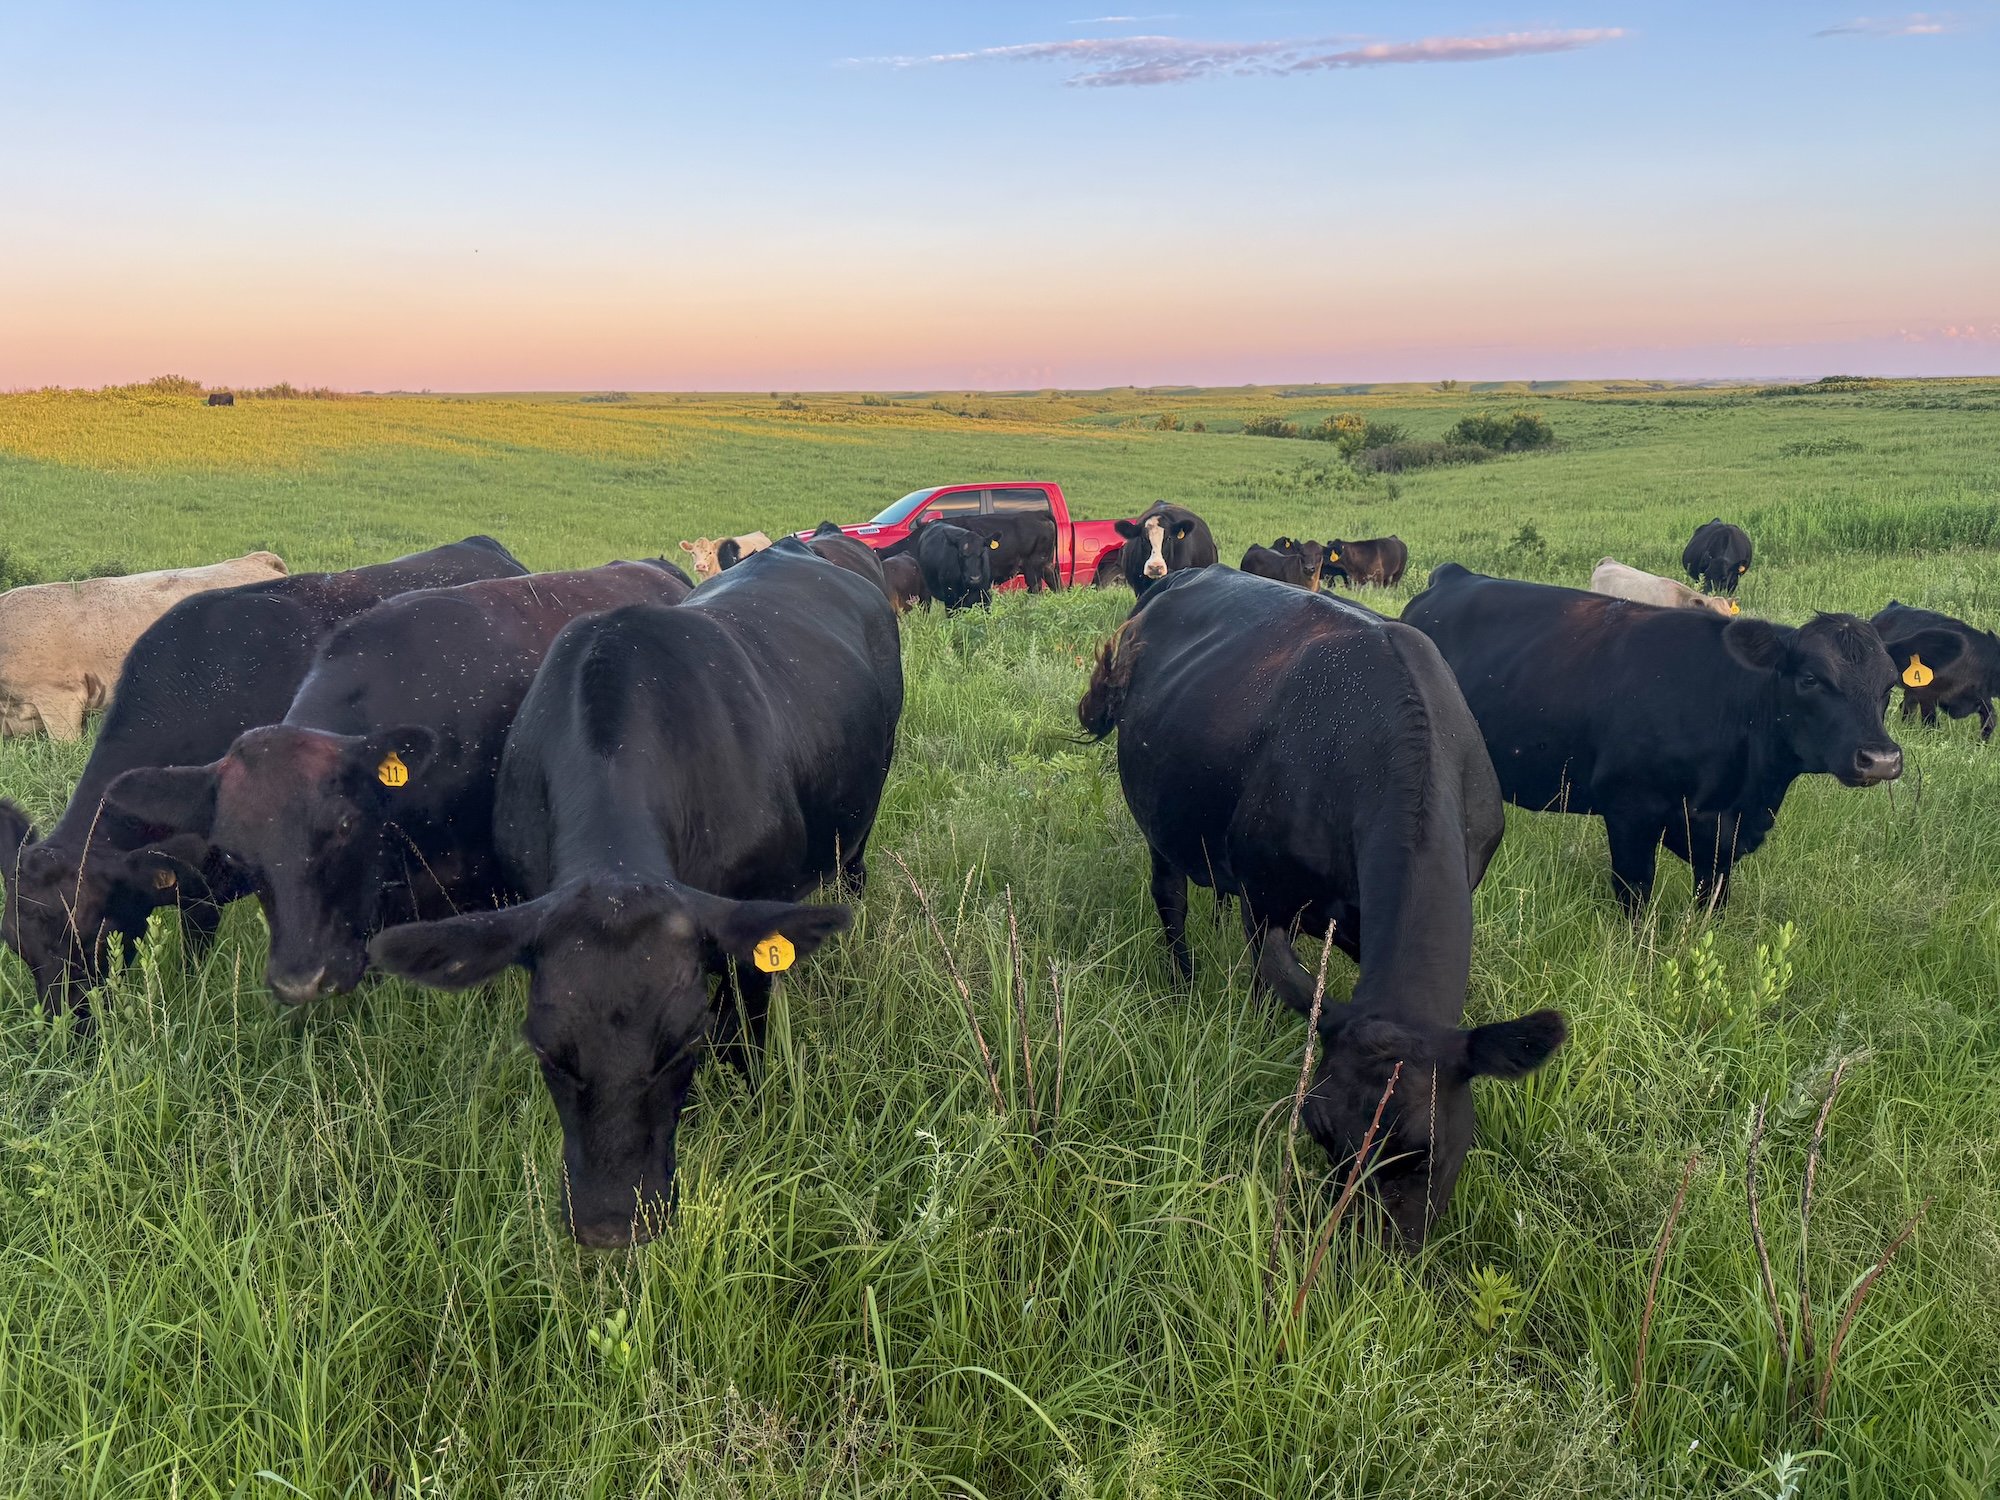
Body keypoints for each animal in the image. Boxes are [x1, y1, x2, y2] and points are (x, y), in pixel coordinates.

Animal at [368, 539, 903, 1247]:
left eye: (681, 1042)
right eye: (547, 1049)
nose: (612, 1226)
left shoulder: (753, 933)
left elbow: (746, 1041)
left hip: (861, 823)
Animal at [1076, 567, 1563, 1248]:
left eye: (1421, 1152)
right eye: (1317, 1131)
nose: (1366, 1252)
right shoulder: (1266, 898)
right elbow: (1265, 987)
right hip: (1161, 823)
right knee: (1170, 902)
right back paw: (1184, 982)